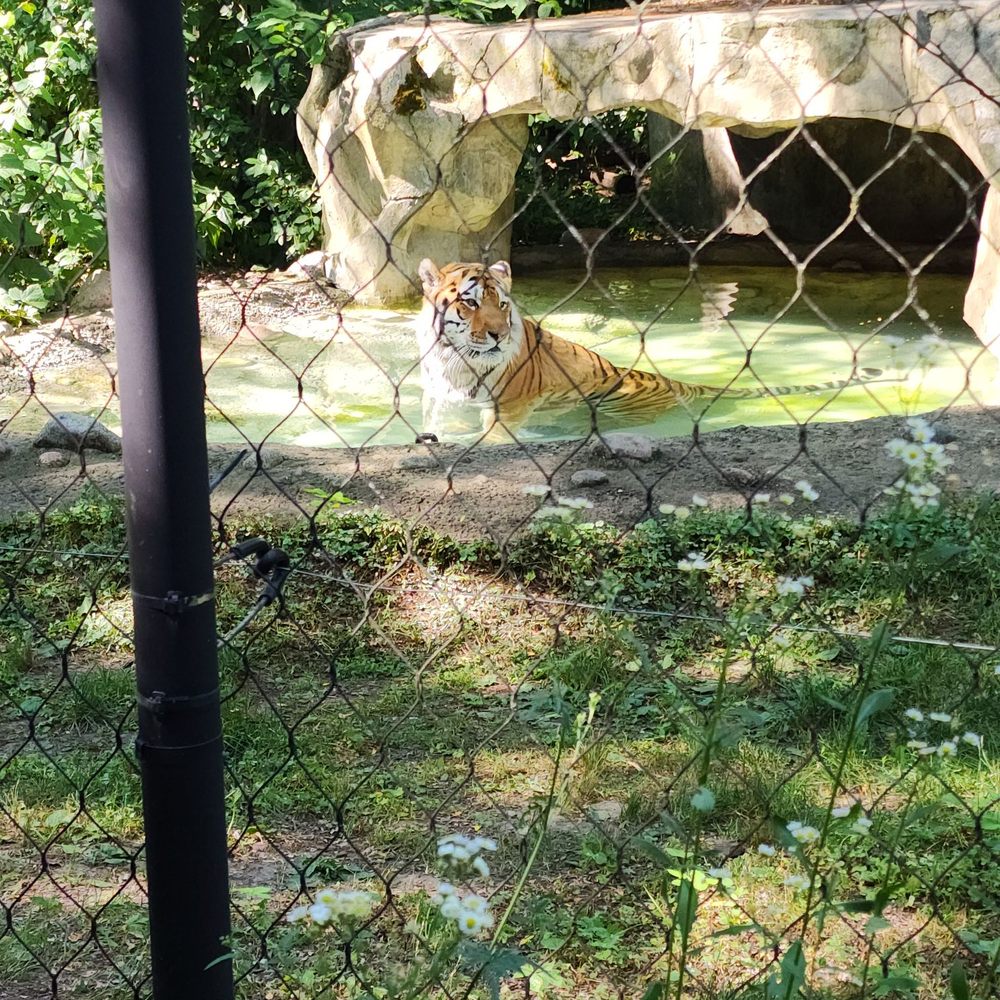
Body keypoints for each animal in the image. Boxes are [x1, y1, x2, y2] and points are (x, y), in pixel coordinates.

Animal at [416, 258, 881, 439]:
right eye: (471, 302)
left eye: (502, 305)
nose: (497, 334)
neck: (455, 361)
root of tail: (674, 381)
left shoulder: (510, 407)